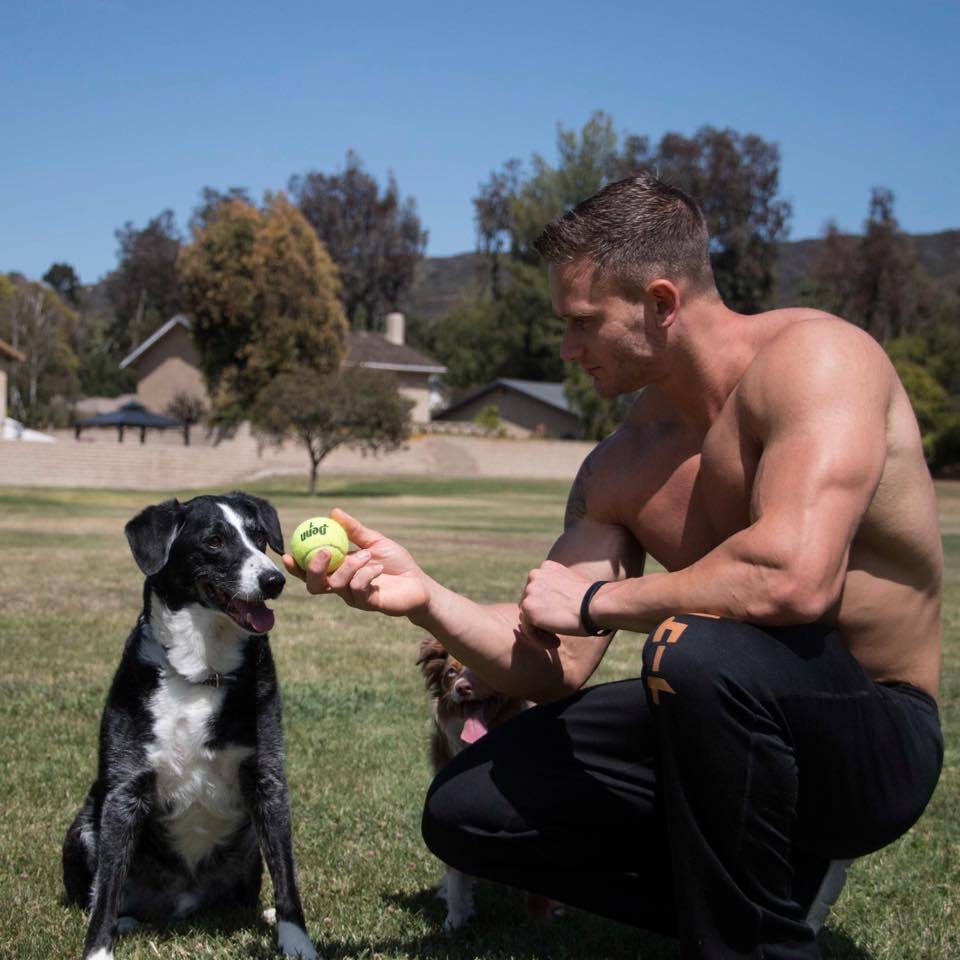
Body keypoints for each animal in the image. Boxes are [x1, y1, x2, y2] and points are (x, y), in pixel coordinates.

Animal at [63, 496, 318, 960]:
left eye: (258, 537)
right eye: (214, 541)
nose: (273, 580)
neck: (201, 670)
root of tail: (180, 903)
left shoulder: (268, 781)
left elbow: (286, 876)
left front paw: (297, 942)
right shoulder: (125, 790)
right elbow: (106, 888)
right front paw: (98, 951)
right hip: (85, 827)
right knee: (99, 889)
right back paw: (124, 919)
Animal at [416, 636, 560, 928]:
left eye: (482, 668)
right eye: (451, 673)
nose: (462, 688)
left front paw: (540, 920)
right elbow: (456, 875)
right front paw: (455, 920)